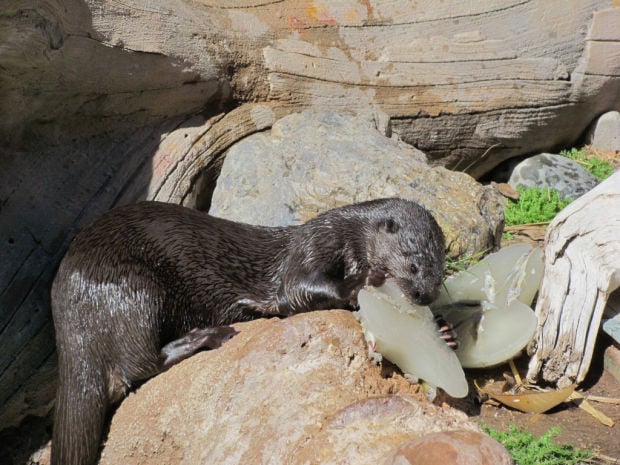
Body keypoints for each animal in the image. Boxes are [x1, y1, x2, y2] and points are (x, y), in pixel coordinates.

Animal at [49, 197, 446, 464]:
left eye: (440, 271)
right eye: (413, 264)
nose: (424, 295)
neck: (347, 235)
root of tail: (71, 320)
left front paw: (444, 330)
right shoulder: (312, 247)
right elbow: (297, 288)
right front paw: (362, 281)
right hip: (134, 286)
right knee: (138, 366)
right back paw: (209, 335)